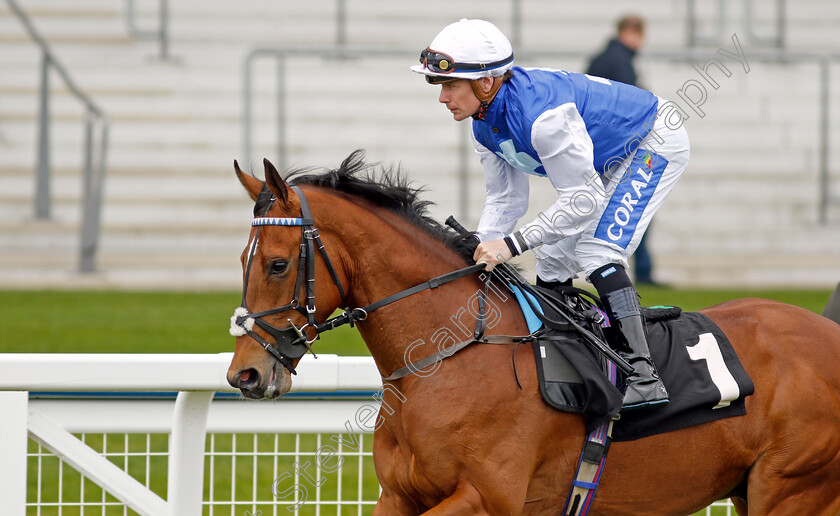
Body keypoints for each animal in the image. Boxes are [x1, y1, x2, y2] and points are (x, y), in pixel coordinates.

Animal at [225, 151, 840, 512]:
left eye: (277, 264)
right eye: (242, 259)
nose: (245, 374)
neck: (450, 359)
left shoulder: (488, 497)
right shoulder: (400, 495)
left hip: (792, 489)